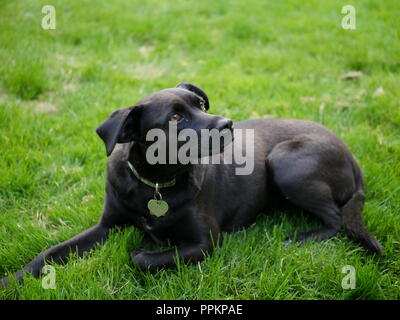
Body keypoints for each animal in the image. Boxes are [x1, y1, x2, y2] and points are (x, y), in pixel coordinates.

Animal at [0, 82, 382, 288]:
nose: (228, 124)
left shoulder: (206, 242)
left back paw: (299, 238)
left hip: (286, 162)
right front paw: (12, 280)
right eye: (174, 118)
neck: (154, 184)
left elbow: (143, 259)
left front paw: (139, 251)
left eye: (200, 104)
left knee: (335, 220)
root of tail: (351, 154)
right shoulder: (106, 225)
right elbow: (49, 253)